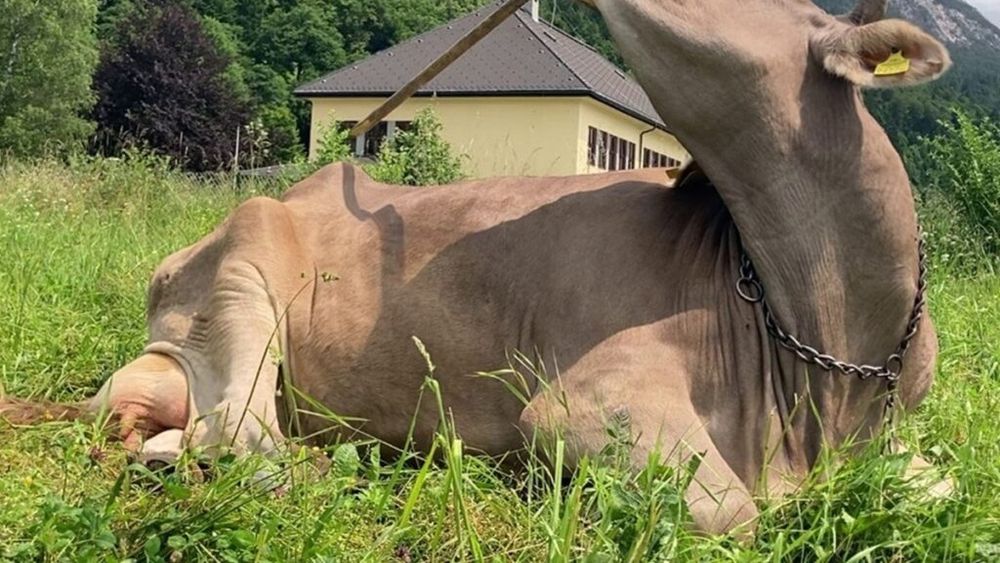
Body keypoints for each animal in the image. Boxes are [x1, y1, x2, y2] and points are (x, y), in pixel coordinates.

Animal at [1, 0, 951, 534]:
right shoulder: (585, 400)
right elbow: (736, 515)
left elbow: (935, 484)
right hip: (244, 270)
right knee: (241, 433)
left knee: (194, 432)